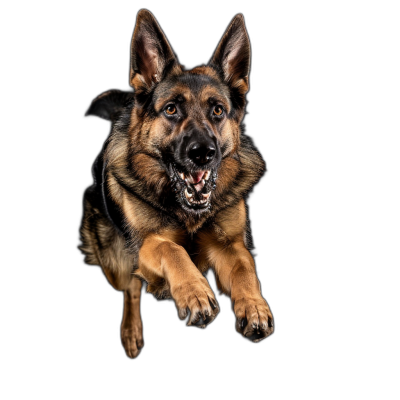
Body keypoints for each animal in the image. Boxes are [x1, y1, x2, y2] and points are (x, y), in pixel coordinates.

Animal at [82, 10, 274, 360]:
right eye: (171, 109)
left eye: (218, 110)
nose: (203, 153)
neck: (188, 212)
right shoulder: (148, 244)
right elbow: (172, 250)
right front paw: (195, 293)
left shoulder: (230, 245)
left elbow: (245, 270)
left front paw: (254, 306)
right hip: (116, 264)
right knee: (130, 286)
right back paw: (132, 329)